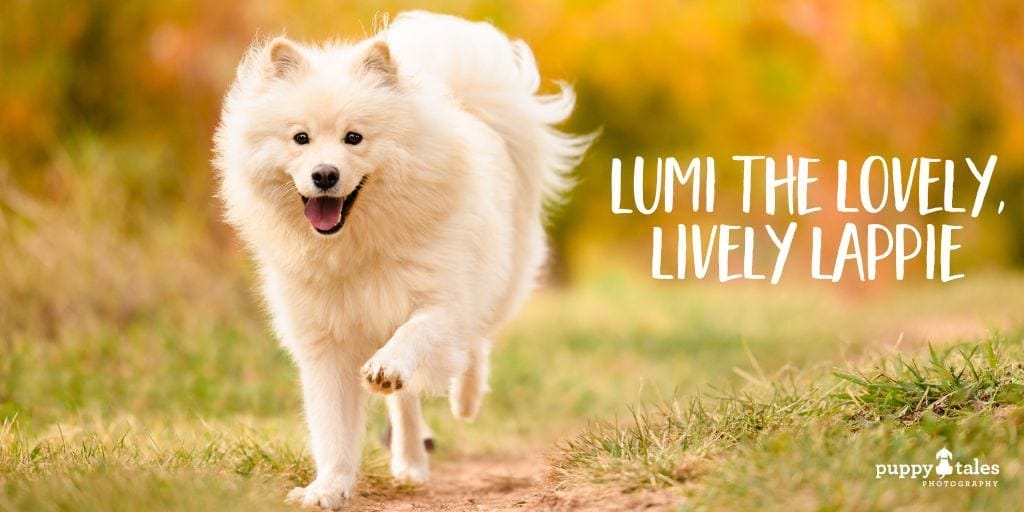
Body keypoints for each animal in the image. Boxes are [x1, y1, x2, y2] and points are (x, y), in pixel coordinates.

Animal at [211, 9, 593, 509]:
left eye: (354, 138)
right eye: (301, 138)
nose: (324, 174)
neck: (355, 246)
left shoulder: (440, 301)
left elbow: (417, 333)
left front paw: (390, 365)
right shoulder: (324, 343)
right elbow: (332, 429)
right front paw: (327, 489)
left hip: (498, 281)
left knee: (475, 344)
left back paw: (464, 398)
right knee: (406, 403)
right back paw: (410, 461)